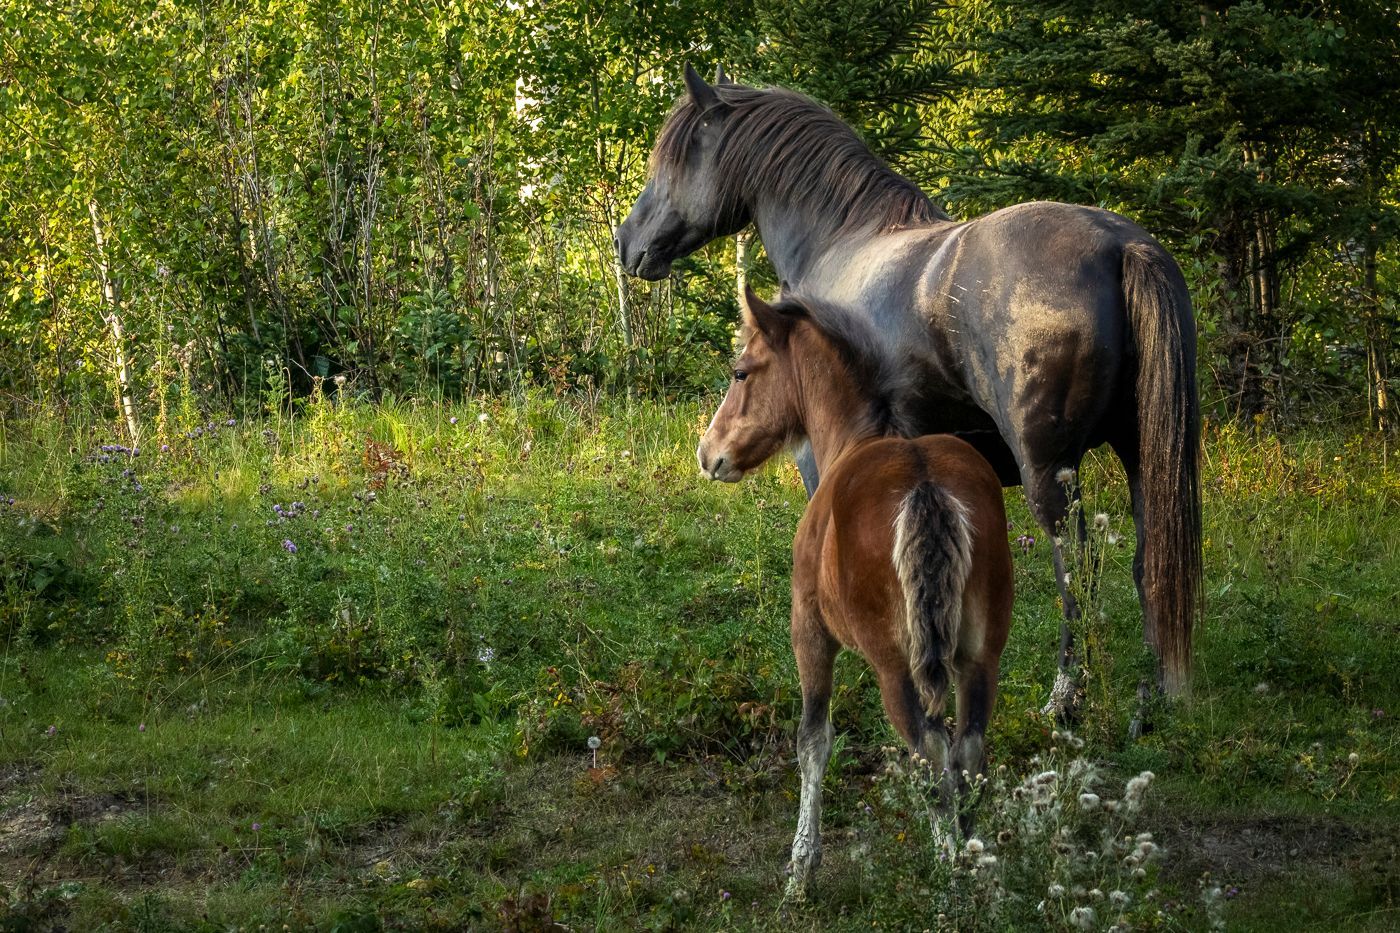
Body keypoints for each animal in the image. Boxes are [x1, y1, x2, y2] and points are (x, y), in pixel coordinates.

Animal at [617, 65, 1201, 707]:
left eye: (673, 159)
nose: (626, 242)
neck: (840, 241)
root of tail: (1121, 244)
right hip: (1142, 453)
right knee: (1151, 560)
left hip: (1048, 468)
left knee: (1077, 570)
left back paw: (1066, 696)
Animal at [698, 285, 1013, 899]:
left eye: (740, 371)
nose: (708, 453)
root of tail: (926, 487)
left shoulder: (809, 630)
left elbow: (812, 741)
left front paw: (802, 865)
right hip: (980, 659)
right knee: (967, 749)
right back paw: (976, 862)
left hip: (895, 666)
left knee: (931, 750)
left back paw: (950, 878)